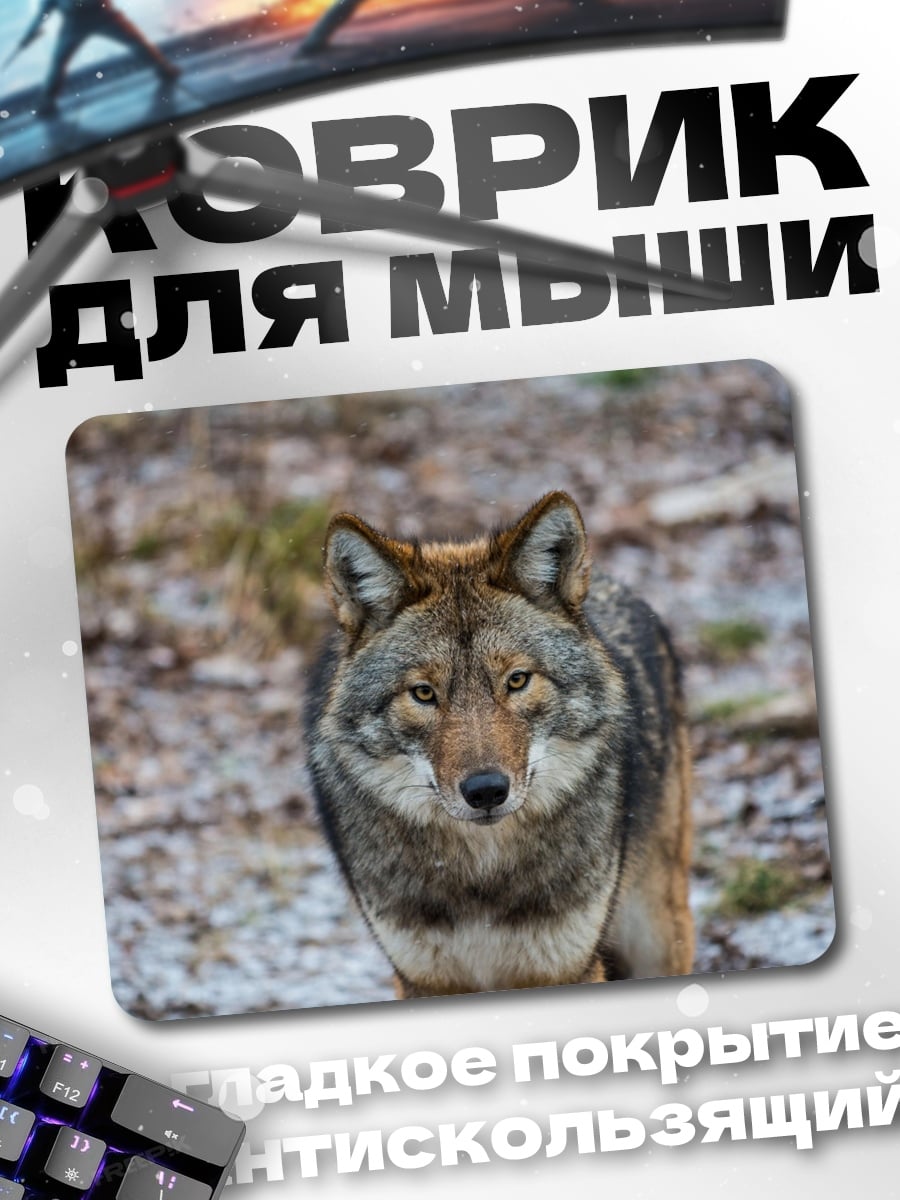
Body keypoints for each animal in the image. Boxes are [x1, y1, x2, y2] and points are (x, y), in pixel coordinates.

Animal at [305, 491, 693, 998]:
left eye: (517, 680)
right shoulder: (425, 980)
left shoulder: (564, 968)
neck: (482, 877)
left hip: (657, 934)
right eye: (424, 693)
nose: (486, 790)